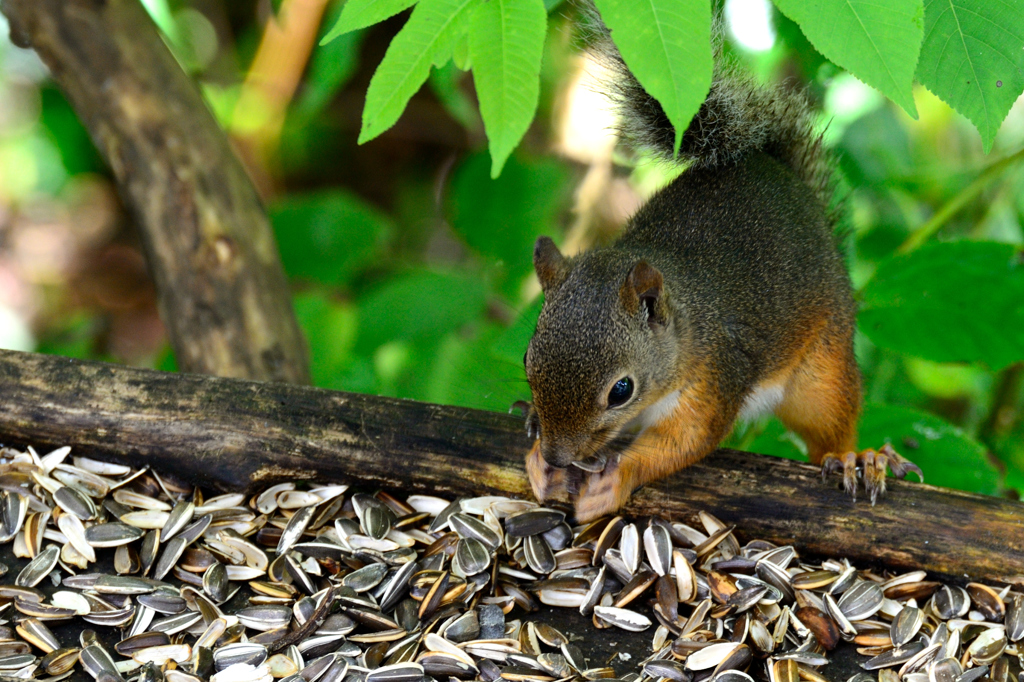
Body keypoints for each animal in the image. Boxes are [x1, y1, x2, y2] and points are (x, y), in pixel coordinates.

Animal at [520, 29, 921, 518]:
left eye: (621, 391)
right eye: (527, 360)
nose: (559, 456)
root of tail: (782, 174)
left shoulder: (715, 373)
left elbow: (687, 441)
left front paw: (613, 479)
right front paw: (537, 457)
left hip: (822, 369)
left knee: (828, 427)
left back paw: (856, 458)